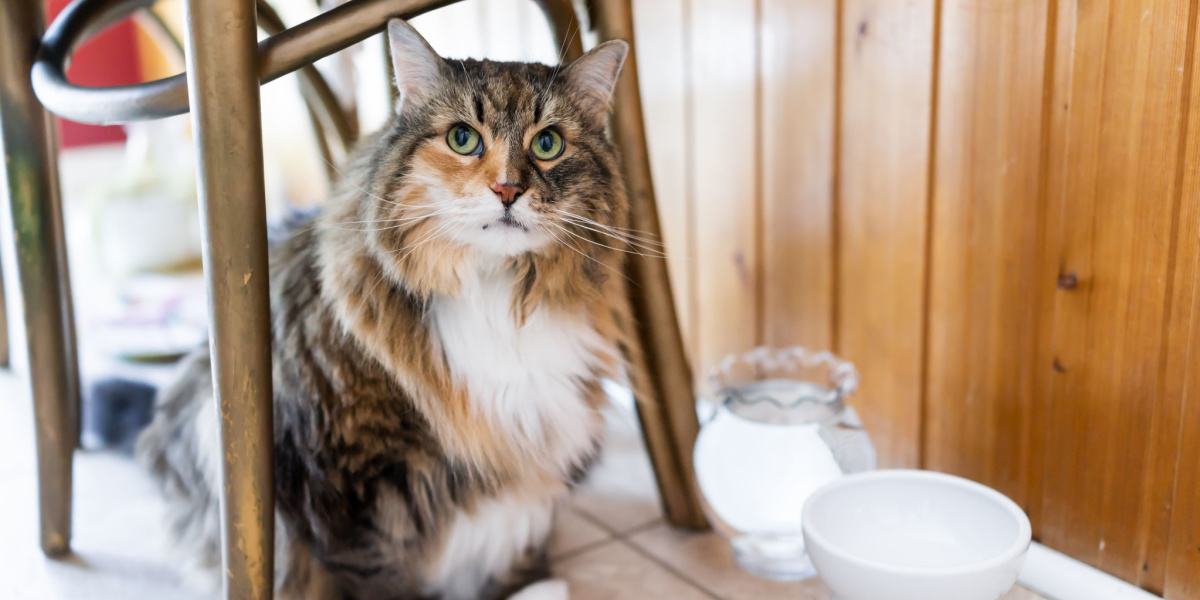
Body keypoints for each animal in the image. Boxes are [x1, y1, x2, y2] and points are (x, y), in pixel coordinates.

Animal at [137, 18, 643, 600]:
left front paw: (530, 586)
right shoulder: (350, 490)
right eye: (463, 139)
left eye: (548, 143)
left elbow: (519, 548)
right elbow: (378, 575)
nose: (507, 189)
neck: (494, 292)